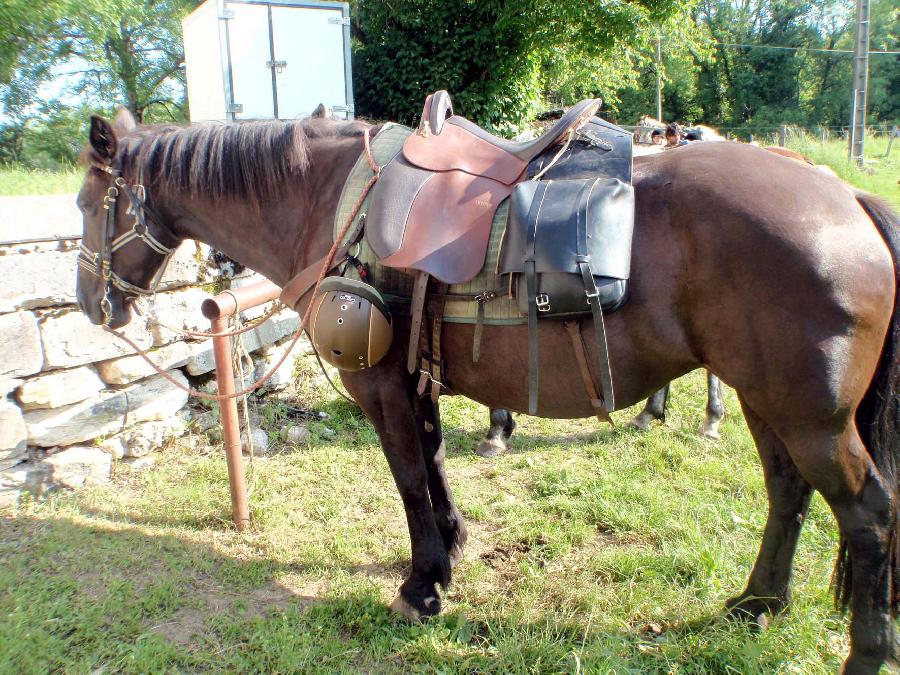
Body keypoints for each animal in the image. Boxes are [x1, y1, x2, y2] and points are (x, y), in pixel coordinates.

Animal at [74, 109, 896, 672]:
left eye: (86, 205)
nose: (90, 304)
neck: (332, 204)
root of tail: (850, 199)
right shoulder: (415, 376)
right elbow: (434, 464)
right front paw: (453, 547)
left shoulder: (376, 380)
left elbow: (408, 478)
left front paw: (422, 585)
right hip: (768, 400)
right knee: (788, 491)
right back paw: (757, 605)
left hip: (813, 417)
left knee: (867, 514)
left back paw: (863, 649)